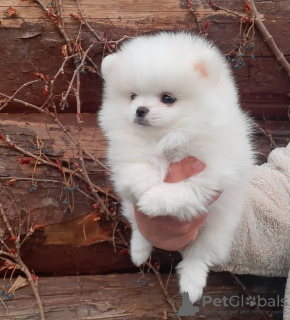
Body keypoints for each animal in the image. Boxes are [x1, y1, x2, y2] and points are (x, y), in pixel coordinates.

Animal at [98, 31, 253, 302]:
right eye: (132, 96)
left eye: (168, 98)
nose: (140, 110)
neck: (169, 138)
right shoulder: (124, 155)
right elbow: (137, 166)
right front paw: (146, 184)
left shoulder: (213, 173)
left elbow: (185, 189)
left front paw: (154, 199)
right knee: (139, 228)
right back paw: (139, 251)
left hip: (216, 231)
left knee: (198, 256)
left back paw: (191, 284)